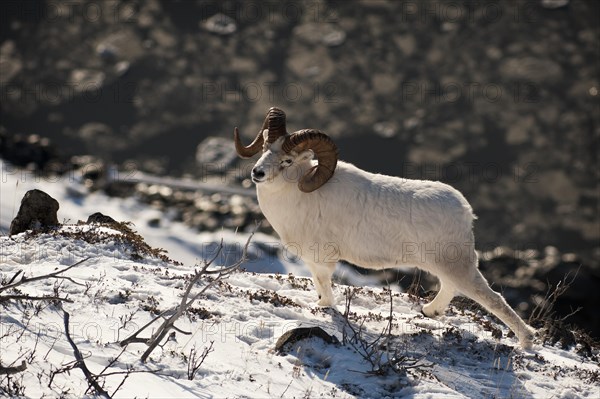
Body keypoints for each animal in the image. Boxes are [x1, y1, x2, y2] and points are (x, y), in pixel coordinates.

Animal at [233, 108, 536, 348]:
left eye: (287, 161)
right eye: (265, 150)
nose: (257, 174)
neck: (298, 198)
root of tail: (465, 211)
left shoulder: (322, 259)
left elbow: (325, 287)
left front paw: (322, 307)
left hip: (456, 264)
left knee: (490, 298)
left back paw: (526, 344)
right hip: (442, 265)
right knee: (450, 287)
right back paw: (429, 312)